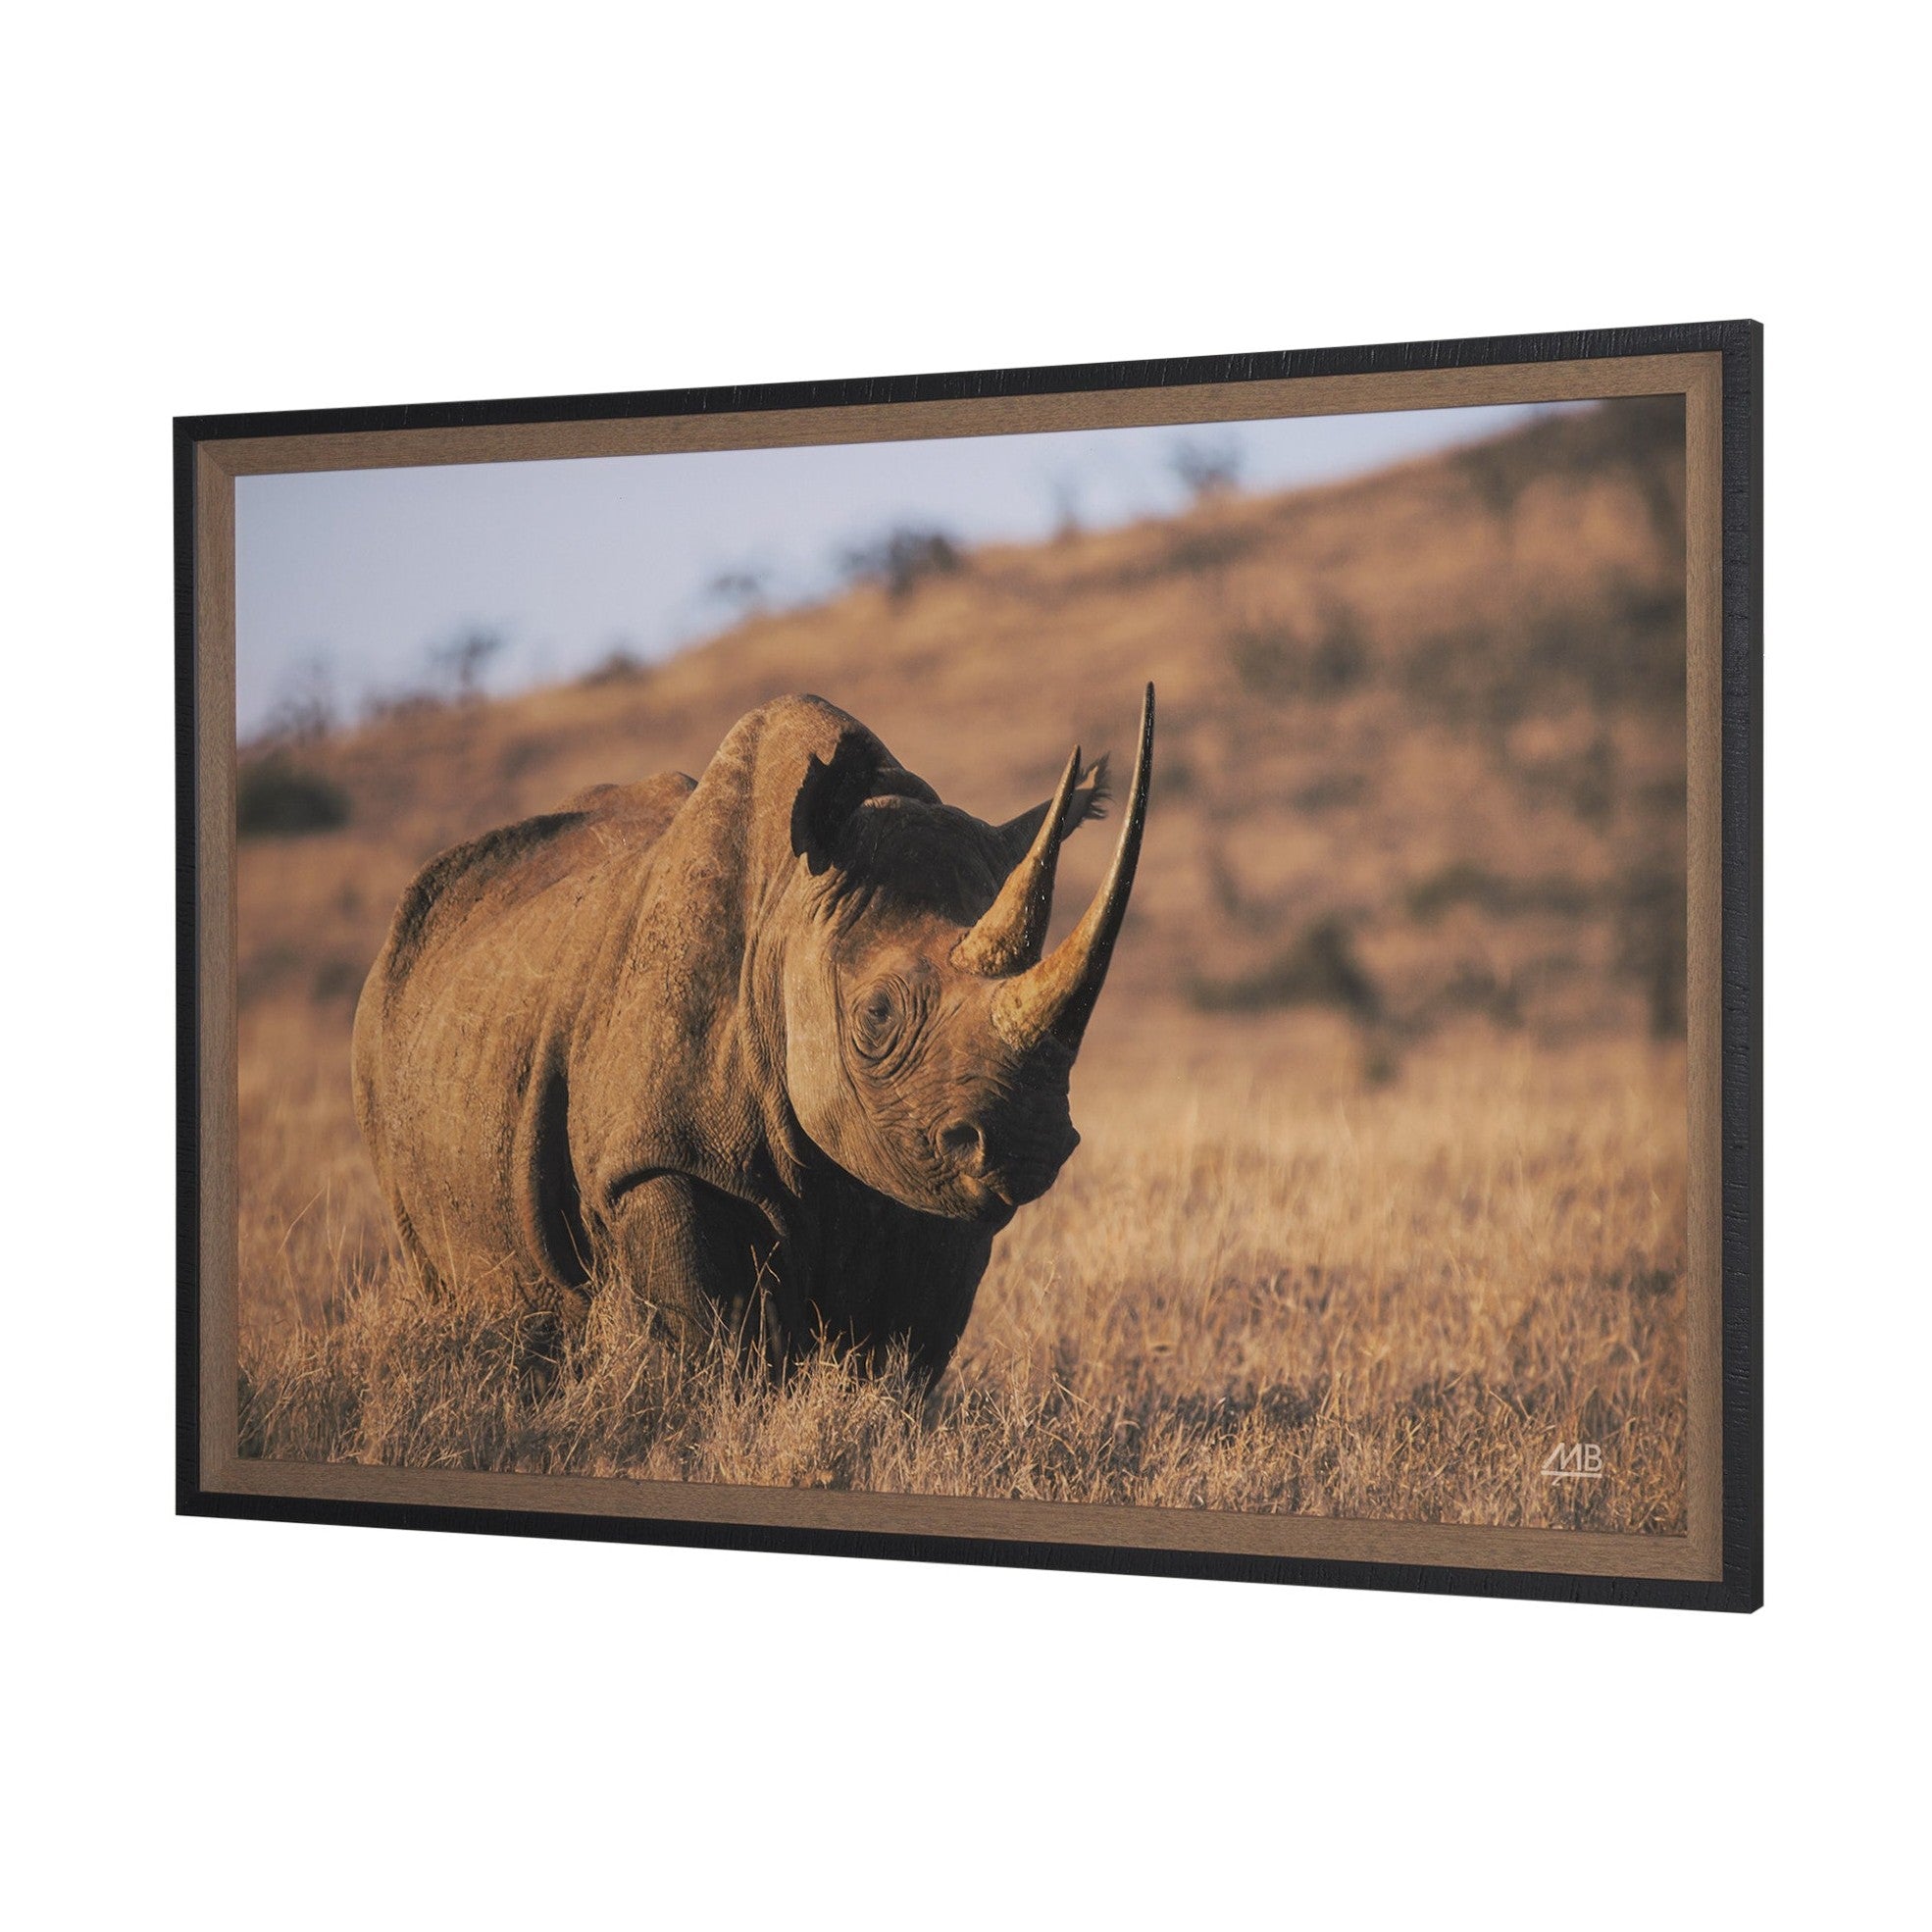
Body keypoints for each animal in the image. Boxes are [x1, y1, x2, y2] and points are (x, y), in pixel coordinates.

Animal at [352, 683, 1154, 1379]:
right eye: (877, 1016)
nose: (1028, 1143)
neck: (790, 910)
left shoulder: (931, 1182)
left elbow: (902, 1355)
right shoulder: (658, 1154)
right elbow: (715, 1338)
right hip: (382, 1035)